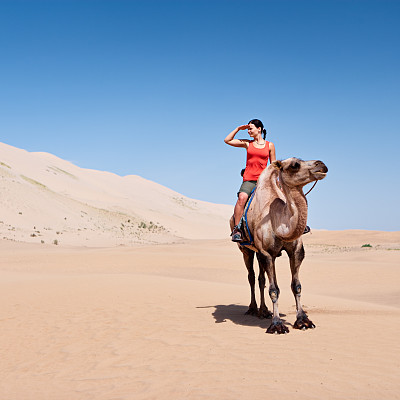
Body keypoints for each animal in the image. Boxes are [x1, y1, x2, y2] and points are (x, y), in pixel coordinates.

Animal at [231, 158, 328, 332]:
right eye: (295, 165)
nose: (321, 164)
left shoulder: (296, 251)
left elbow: (296, 286)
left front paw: (303, 320)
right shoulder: (266, 253)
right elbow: (274, 289)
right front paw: (277, 325)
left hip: (260, 253)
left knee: (261, 278)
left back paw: (263, 311)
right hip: (246, 250)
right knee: (251, 276)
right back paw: (252, 309)